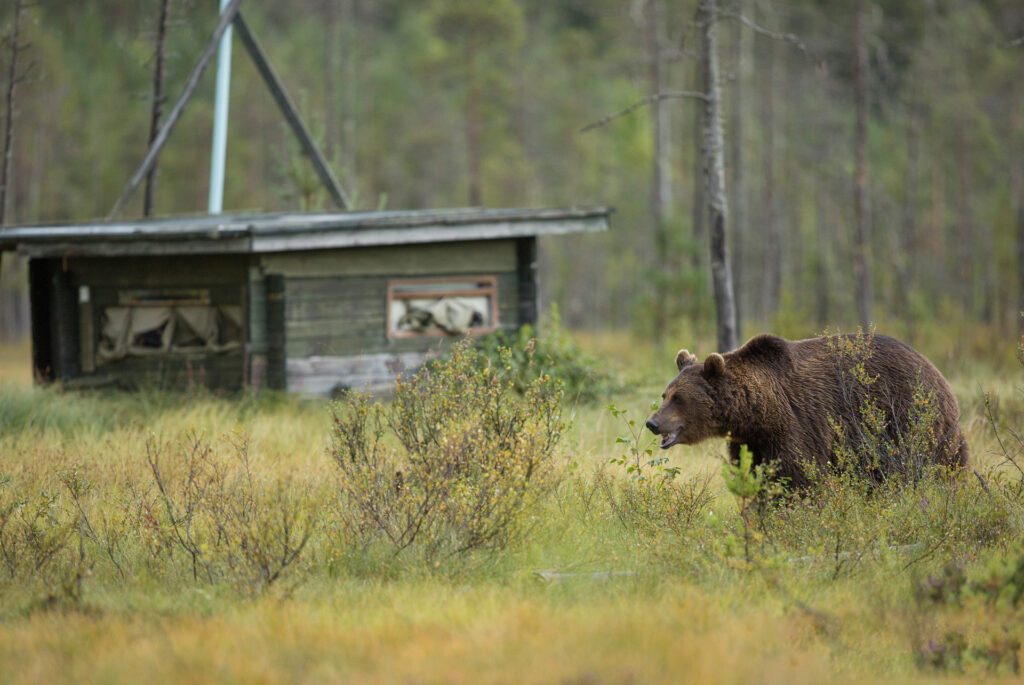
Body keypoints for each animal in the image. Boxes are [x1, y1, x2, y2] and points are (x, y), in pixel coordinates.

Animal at [645, 333, 968, 487]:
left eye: (679, 398)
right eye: (665, 394)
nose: (652, 422)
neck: (758, 413)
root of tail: (938, 374)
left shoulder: (800, 424)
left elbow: (798, 475)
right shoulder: (752, 442)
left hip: (909, 418)